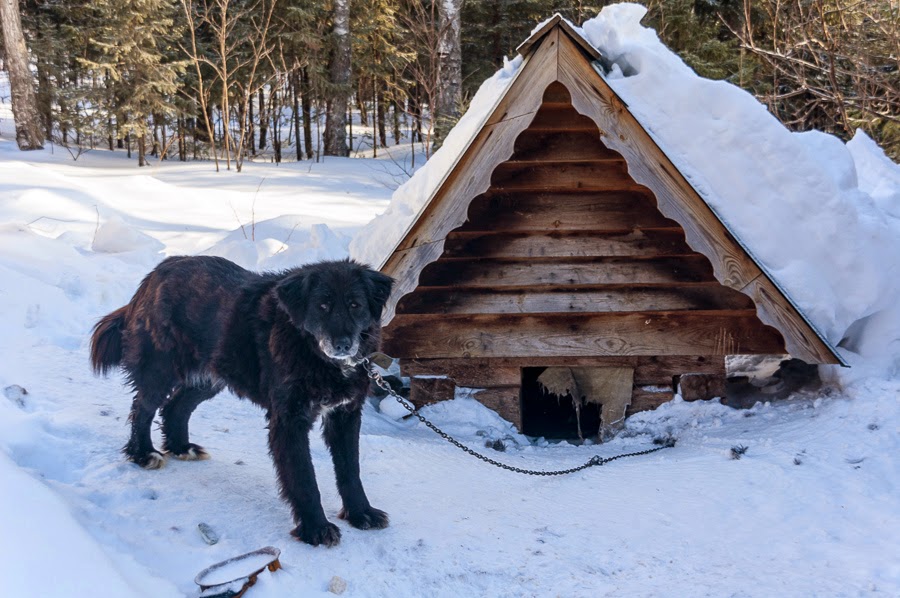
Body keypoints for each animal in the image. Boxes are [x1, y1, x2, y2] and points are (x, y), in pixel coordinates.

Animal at [90, 255, 394, 548]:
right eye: (322, 306)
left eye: (355, 305)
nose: (343, 344)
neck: (310, 349)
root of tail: (160, 269)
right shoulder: (289, 420)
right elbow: (304, 477)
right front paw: (315, 529)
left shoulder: (345, 414)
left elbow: (350, 470)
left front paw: (361, 513)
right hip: (161, 369)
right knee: (142, 408)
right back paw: (142, 453)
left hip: (210, 376)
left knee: (175, 407)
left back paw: (181, 447)